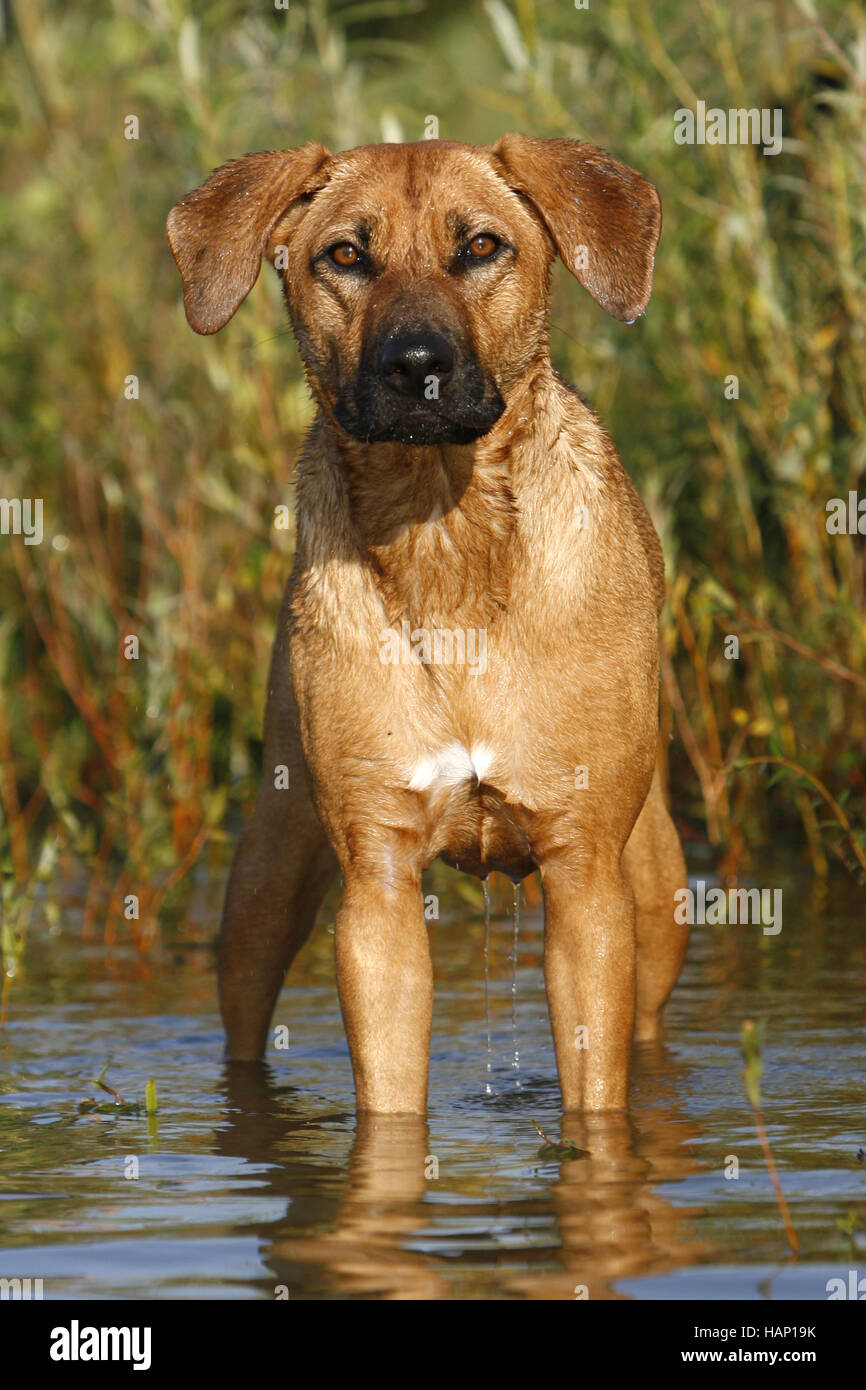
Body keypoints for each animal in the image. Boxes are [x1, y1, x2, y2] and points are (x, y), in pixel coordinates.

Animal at [166, 135, 686, 1112]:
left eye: (481, 246)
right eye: (344, 255)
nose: (415, 366)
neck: (444, 533)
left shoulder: (585, 875)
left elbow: (596, 1092)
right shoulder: (376, 882)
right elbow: (390, 1101)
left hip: (655, 883)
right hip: (267, 870)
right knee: (244, 1014)